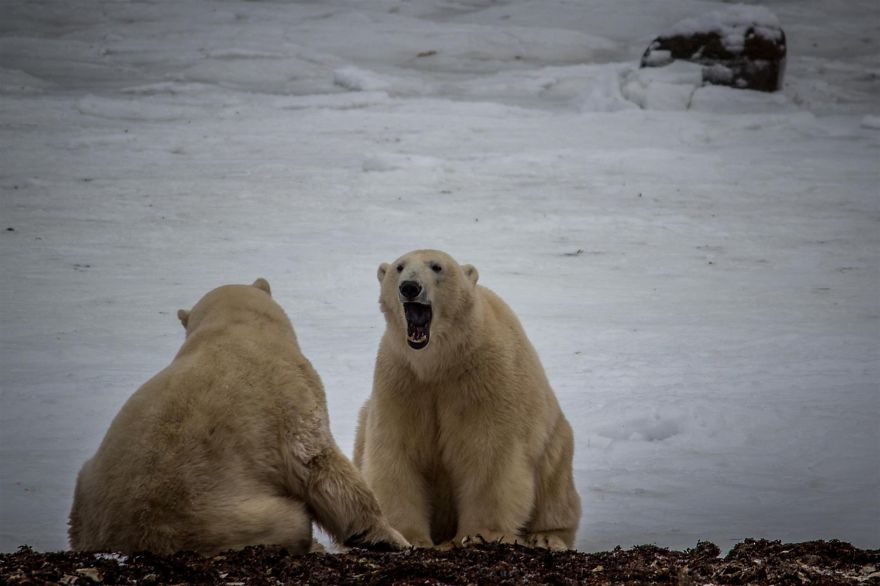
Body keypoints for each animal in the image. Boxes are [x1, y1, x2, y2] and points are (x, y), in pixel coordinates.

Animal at [69, 278, 409, 555]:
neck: (237, 326)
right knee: (292, 520)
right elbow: (317, 461)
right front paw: (385, 536)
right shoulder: (292, 392)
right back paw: (312, 544)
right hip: (222, 516)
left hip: (85, 491)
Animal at [354, 250, 581, 550]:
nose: (409, 287)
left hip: (553, 439)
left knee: (555, 484)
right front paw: (407, 536)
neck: (440, 362)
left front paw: (481, 534)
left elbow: (488, 454)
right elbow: (396, 453)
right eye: (399, 267)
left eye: (437, 267)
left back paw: (545, 537)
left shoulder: (483, 379)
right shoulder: (402, 380)